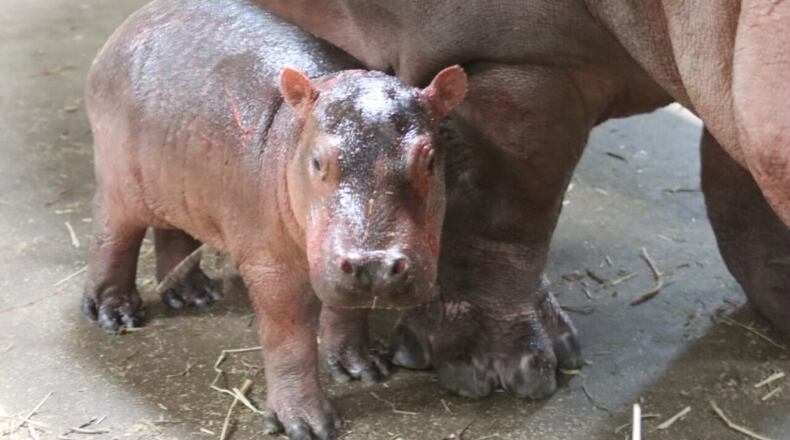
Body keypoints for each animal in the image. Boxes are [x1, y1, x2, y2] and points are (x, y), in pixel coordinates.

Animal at [82, 0, 466, 438]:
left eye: (430, 160)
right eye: (317, 161)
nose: (375, 263)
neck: (297, 132)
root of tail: (130, 25)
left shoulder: (333, 259)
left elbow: (348, 308)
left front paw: (365, 368)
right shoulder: (270, 264)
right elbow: (289, 337)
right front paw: (307, 425)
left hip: (178, 176)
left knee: (175, 231)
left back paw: (194, 295)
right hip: (119, 181)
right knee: (112, 235)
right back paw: (116, 315)